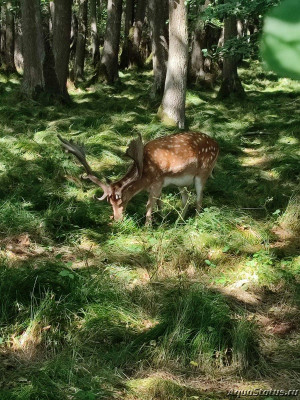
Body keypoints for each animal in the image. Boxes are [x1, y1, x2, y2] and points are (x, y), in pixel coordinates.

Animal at [58, 132, 218, 223]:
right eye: (110, 203)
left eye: (123, 200)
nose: (117, 220)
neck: (145, 175)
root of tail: (217, 145)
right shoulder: (156, 186)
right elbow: (159, 203)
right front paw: (162, 220)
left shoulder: (157, 182)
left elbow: (149, 205)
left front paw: (148, 226)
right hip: (182, 182)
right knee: (186, 199)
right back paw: (179, 221)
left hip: (203, 173)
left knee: (199, 199)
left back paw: (195, 222)